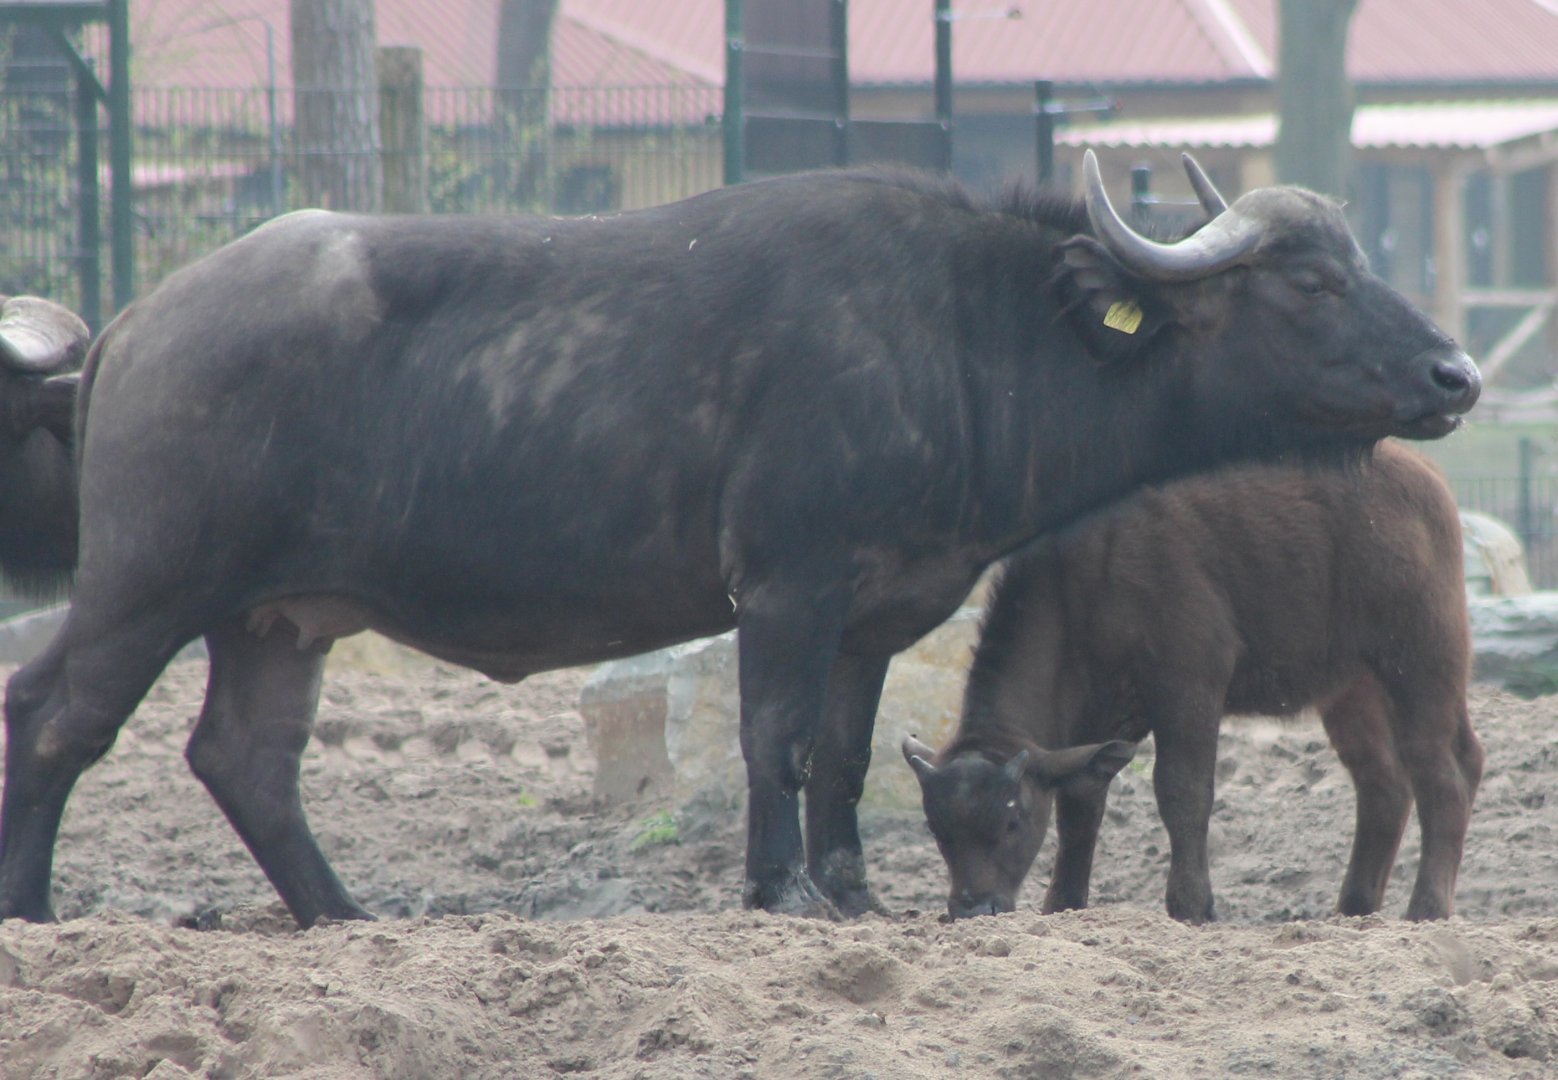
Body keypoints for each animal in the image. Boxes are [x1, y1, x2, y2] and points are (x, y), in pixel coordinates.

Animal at [904, 440, 1478, 924]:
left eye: (1011, 821)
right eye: (937, 829)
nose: (971, 907)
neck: (1087, 578)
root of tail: (1423, 474)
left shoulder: (1190, 686)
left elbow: (1183, 790)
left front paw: (1191, 905)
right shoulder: (1097, 717)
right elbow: (1081, 804)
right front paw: (1063, 903)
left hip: (1423, 665)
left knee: (1444, 776)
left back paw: (1426, 909)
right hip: (1351, 689)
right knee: (1385, 783)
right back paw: (1354, 908)